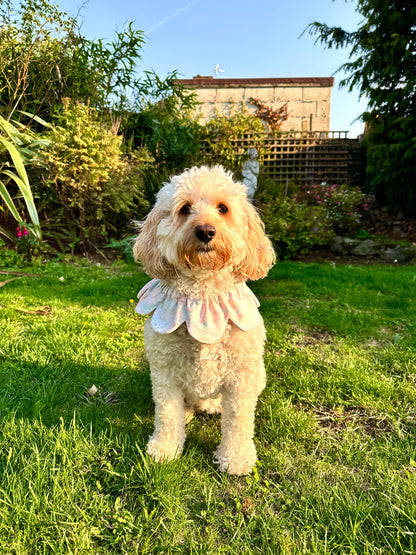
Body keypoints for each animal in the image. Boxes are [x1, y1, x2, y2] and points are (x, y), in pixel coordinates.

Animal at [134, 166, 276, 478]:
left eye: (223, 208)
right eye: (185, 208)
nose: (206, 231)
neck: (202, 297)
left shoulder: (242, 377)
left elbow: (239, 420)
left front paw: (235, 458)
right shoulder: (164, 371)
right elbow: (167, 413)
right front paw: (165, 448)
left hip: (257, 375)